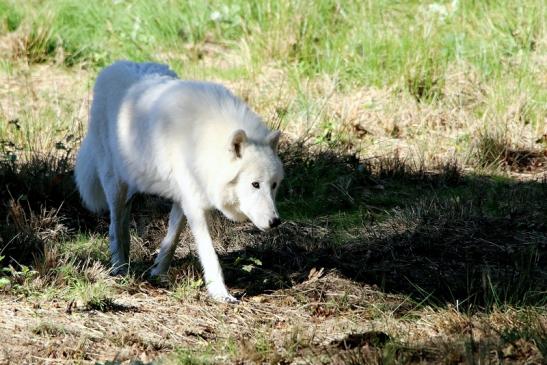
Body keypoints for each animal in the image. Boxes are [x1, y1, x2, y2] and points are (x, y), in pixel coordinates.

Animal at [75, 61, 284, 302]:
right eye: (255, 184)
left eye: (274, 185)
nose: (275, 221)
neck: (204, 142)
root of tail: (116, 65)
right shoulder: (194, 204)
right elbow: (209, 253)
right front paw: (220, 294)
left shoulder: (184, 199)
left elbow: (172, 238)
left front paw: (158, 271)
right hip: (115, 185)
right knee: (114, 226)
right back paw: (119, 268)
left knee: (123, 223)